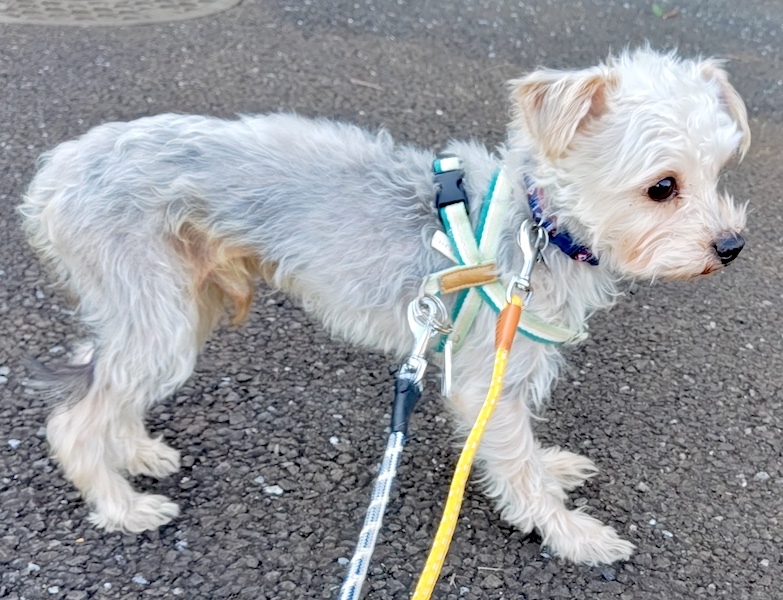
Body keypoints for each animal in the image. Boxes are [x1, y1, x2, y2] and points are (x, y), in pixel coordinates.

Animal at [19, 48, 750, 565]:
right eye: (662, 187)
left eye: (720, 173)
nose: (733, 246)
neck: (537, 223)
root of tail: (56, 173)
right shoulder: (487, 373)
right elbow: (514, 463)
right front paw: (571, 535)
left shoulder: (511, 369)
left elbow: (524, 450)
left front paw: (553, 472)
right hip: (160, 312)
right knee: (75, 420)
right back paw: (122, 506)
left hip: (178, 305)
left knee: (105, 379)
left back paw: (138, 452)